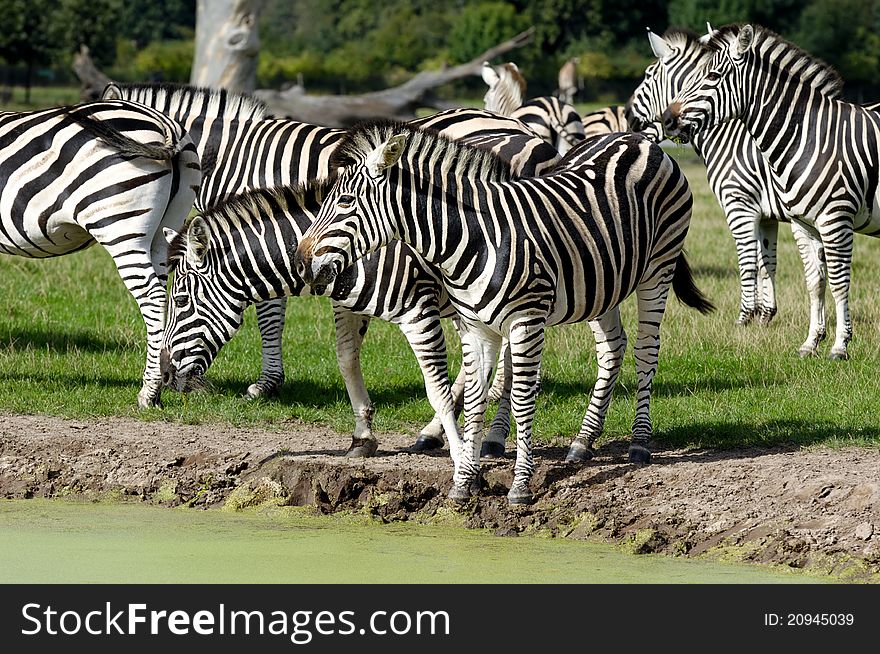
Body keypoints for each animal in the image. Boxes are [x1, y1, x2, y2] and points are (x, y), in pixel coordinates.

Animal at [156, 105, 556, 458]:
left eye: (180, 300)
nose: (166, 375)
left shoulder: (418, 311)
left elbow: (436, 385)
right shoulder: (348, 303)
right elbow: (346, 358)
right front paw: (362, 436)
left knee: (505, 368)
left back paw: (488, 438)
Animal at [296, 121, 716, 502]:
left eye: (346, 203)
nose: (301, 261)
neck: (473, 238)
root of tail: (639, 138)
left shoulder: (526, 321)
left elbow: (521, 398)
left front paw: (520, 485)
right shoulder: (475, 327)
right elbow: (473, 398)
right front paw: (464, 481)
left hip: (658, 266)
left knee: (646, 348)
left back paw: (640, 442)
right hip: (601, 283)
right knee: (613, 347)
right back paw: (583, 442)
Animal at [664, 24, 880, 364]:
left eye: (712, 76)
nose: (667, 119)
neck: (807, 136)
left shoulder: (834, 220)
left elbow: (838, 282)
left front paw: (840, 346)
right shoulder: (803, 223)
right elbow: (814, 282)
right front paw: (811, 342)